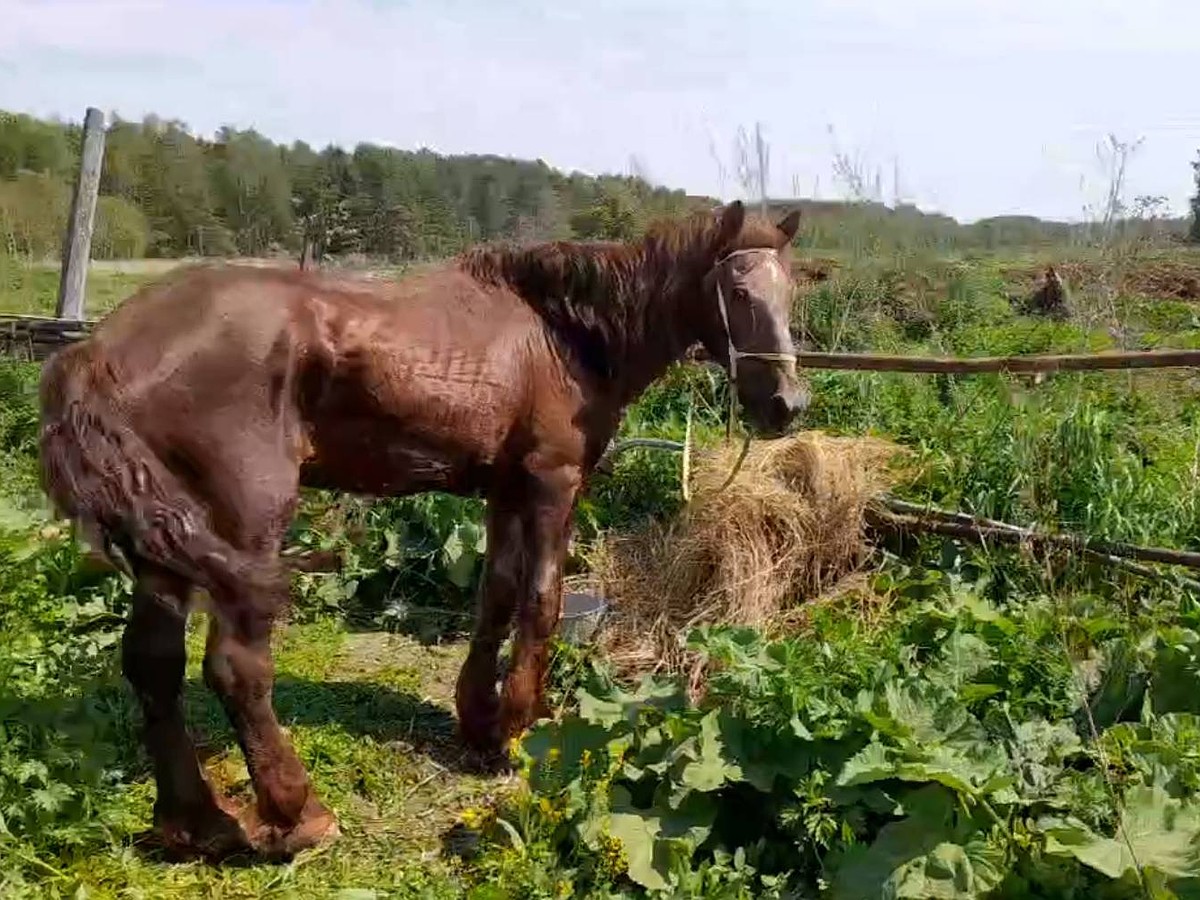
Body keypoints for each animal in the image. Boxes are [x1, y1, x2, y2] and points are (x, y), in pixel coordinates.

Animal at [37, 199, 806, 859]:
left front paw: (480, 720)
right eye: (737, 293)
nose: (786, 404)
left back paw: (197, 824)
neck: (560, 333)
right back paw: (298, 814)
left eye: (791, 293)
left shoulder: (504, 489)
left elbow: (495, 598)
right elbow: (541, 601)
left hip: (165, 547)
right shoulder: (552, 484)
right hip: (246, 525)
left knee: (152, 664)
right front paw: (519, 725)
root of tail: (99, 350)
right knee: (235, 666)